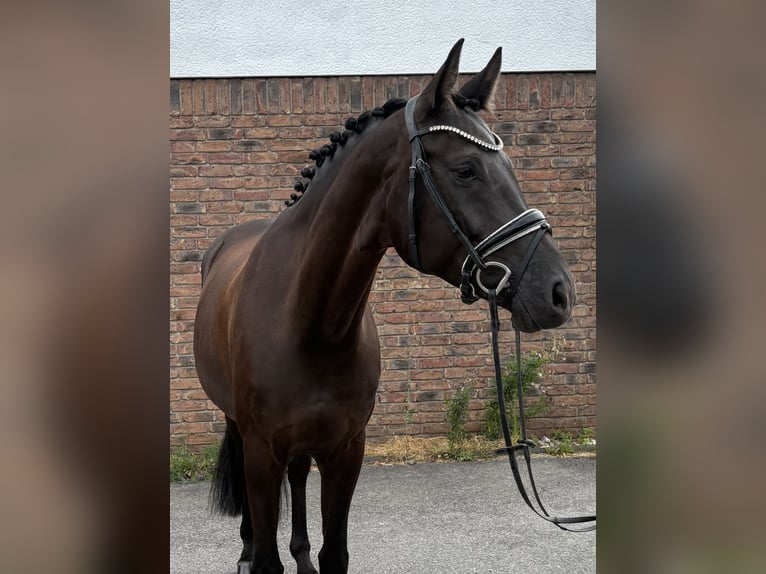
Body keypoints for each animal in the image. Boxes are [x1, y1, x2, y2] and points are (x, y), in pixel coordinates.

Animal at [193, 39, 575, 574]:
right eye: (465, 170)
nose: (558, 292)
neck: (309, 325)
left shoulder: (347, 449)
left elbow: (335, 553)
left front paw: (311, 556)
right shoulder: (260, 451)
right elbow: (268, 552)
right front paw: (258, 555)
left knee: (299, 475)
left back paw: (301, 555)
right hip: (237, 426)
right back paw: (247, 551)